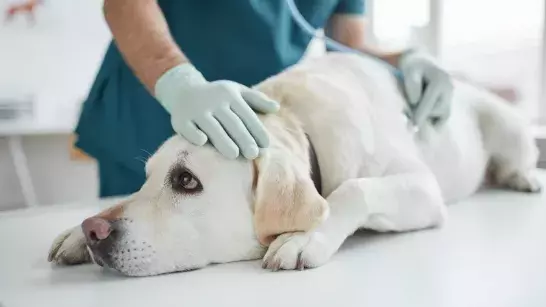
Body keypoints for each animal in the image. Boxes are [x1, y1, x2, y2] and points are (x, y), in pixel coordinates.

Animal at [47, 52, 540, 276]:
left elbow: (352, 188)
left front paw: (303, 236)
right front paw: (73, 233)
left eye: (186, 180)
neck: (293, 119)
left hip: (508, 126)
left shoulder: (422, 187)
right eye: (146, 178)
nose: (94, 230)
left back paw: (523, 176)